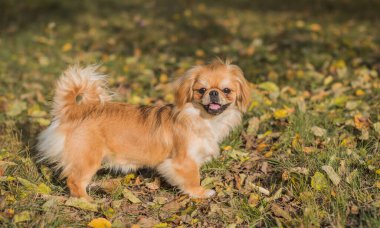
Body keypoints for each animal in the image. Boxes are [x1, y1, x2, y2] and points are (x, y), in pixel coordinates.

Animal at [37, 58, 251, 200]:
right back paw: (87, 202)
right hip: (88, 157)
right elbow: (193, 179)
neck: (202, 118)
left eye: (226, 91)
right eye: (202, 91)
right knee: (74, 182)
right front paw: (201, 193)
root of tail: (75, 111)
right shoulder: (184, 161)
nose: (213, 93)